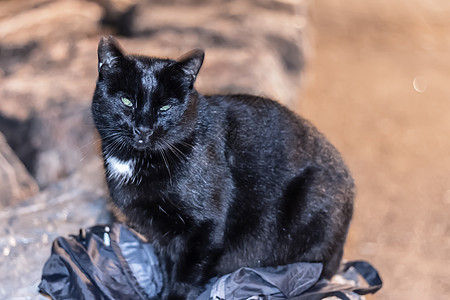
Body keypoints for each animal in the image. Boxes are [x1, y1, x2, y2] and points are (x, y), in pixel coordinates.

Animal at [92, 36, 356, 298]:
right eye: (127, 101)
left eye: (165, 107)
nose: (143, 129)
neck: (139, 160)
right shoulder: (161, 236)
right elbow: (168, 270)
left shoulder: (205, 229)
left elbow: (185, 275)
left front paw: (176, 295)